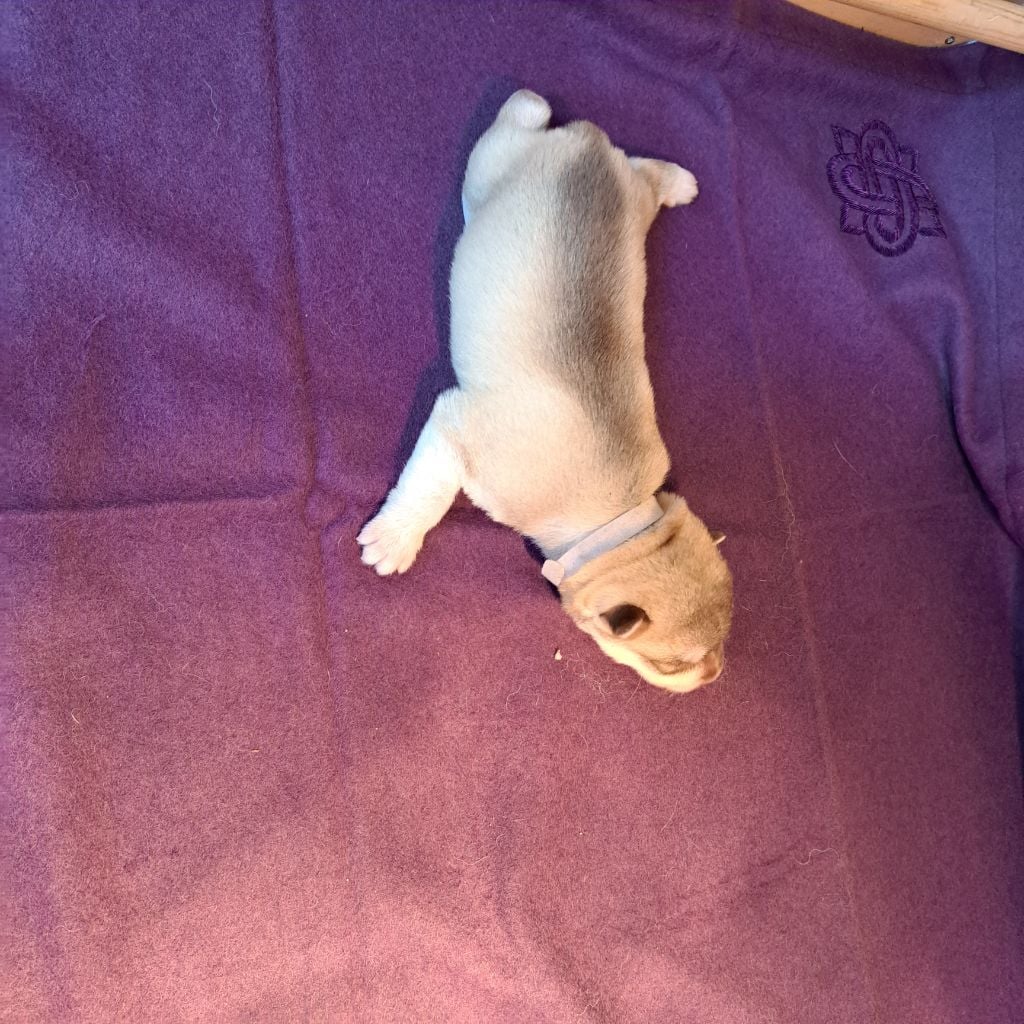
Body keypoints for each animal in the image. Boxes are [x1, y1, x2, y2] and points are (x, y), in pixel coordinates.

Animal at [358, 89, 732, 693]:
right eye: (672, 664)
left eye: (723, 641)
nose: (715, 675)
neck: (619, 516)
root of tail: (589, 144)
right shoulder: (455, 429)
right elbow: (427, 491)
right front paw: (395, 540)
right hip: (487, 170)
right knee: (521, 115)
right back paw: (530, 106)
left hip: (628, 197)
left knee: (643, 172)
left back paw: (679, 182)